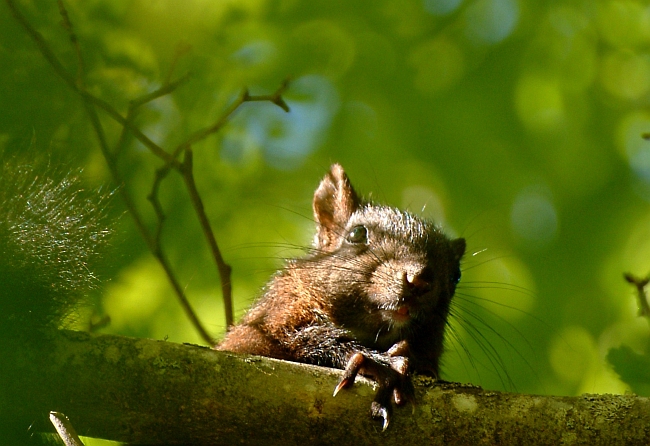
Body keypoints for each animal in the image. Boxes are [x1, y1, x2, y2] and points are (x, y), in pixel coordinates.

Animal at [219, 164, 466, 428]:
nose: (419, 280)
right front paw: (378, 362)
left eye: (456, 275)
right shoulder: (269, 319)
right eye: (356, 234)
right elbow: (291, 337)